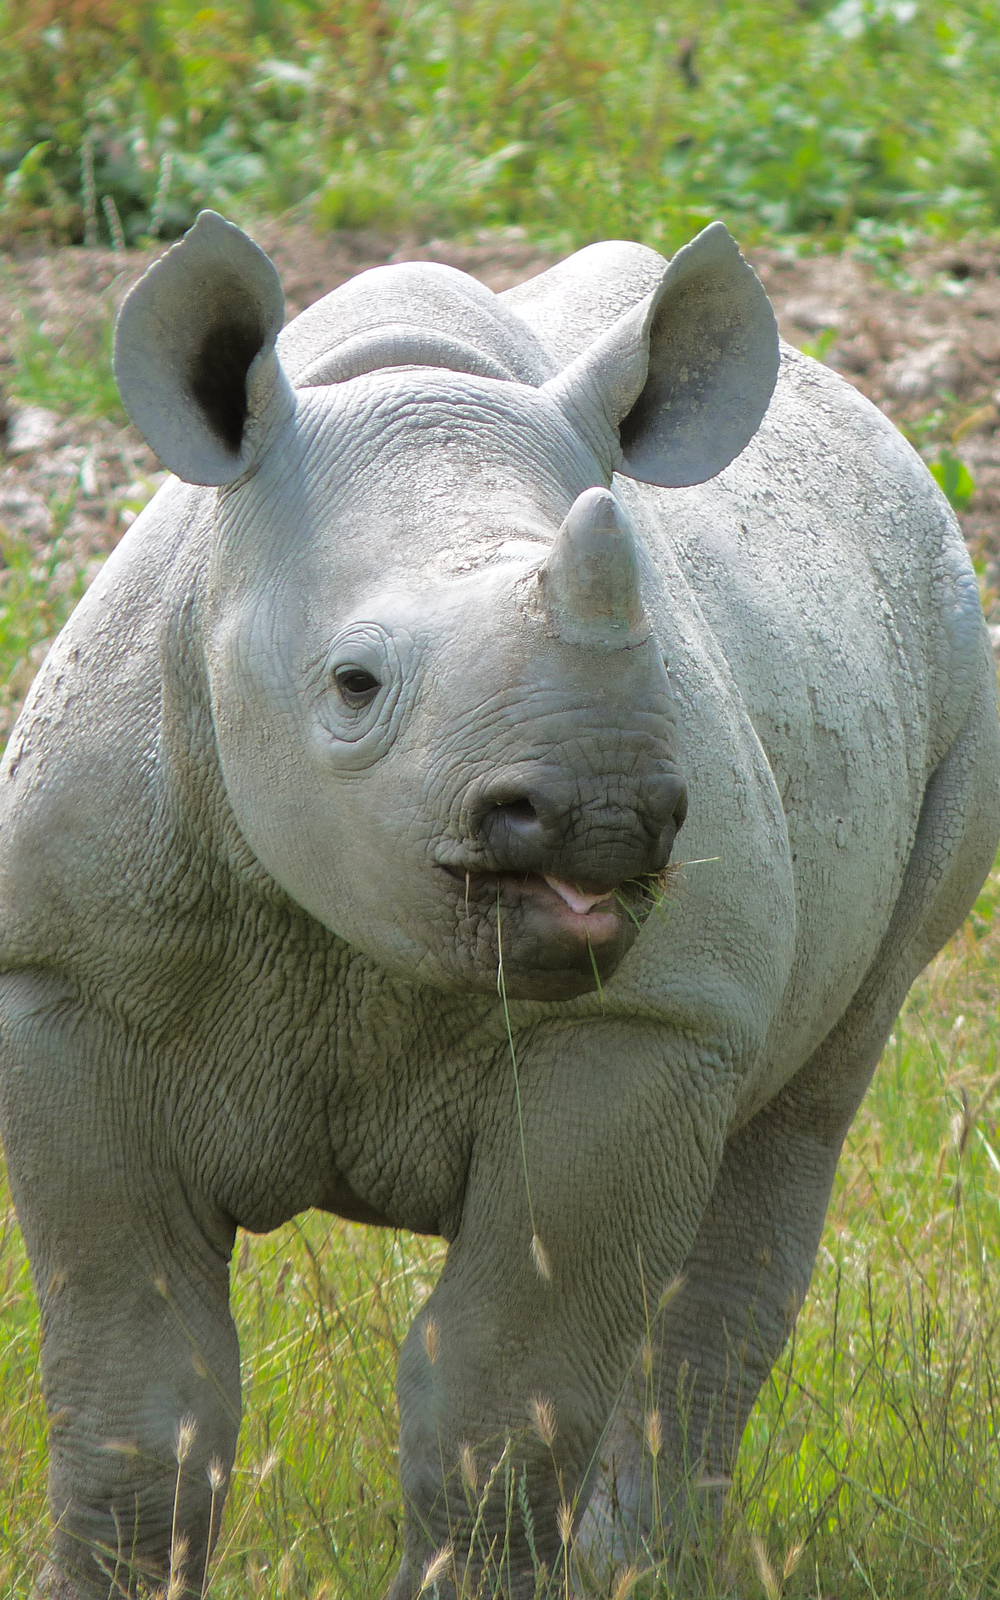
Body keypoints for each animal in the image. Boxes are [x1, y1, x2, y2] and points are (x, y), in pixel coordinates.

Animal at [0, 211, 997, 1599]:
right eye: (354, 684)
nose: (604, 813)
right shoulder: (70, 985)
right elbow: (140, 1394)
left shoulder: (642, 1027)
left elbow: (497, 1400)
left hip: (955, 652)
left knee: (802, 1113)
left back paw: (644, 1566)